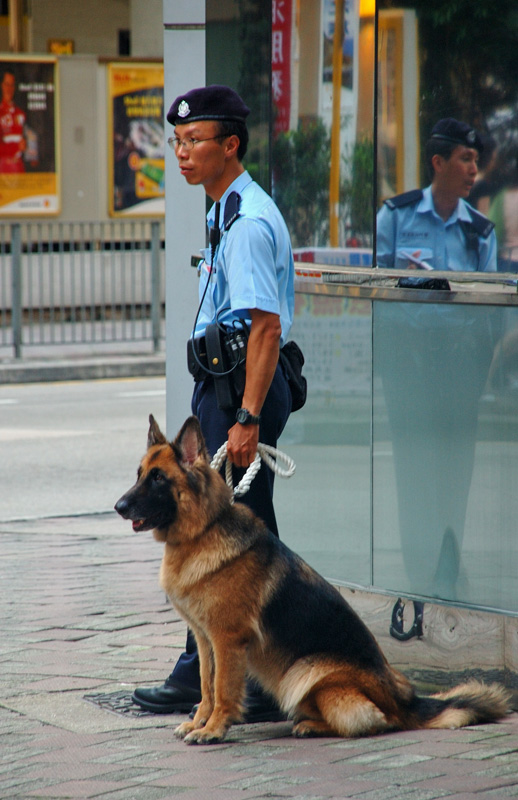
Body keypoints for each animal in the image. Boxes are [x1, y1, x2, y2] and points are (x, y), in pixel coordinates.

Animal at [115, 416, 512, 748]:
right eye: (139, 474)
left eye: (158, 478)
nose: (118, 507)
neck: (203, 532)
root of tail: (406, 701)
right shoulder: (205, 639)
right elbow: (206, 686)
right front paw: (199, 721)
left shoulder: (227, 641)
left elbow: (223, 690)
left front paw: (213, 729)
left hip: (306, 671)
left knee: (374, 721)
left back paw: (311, 726)